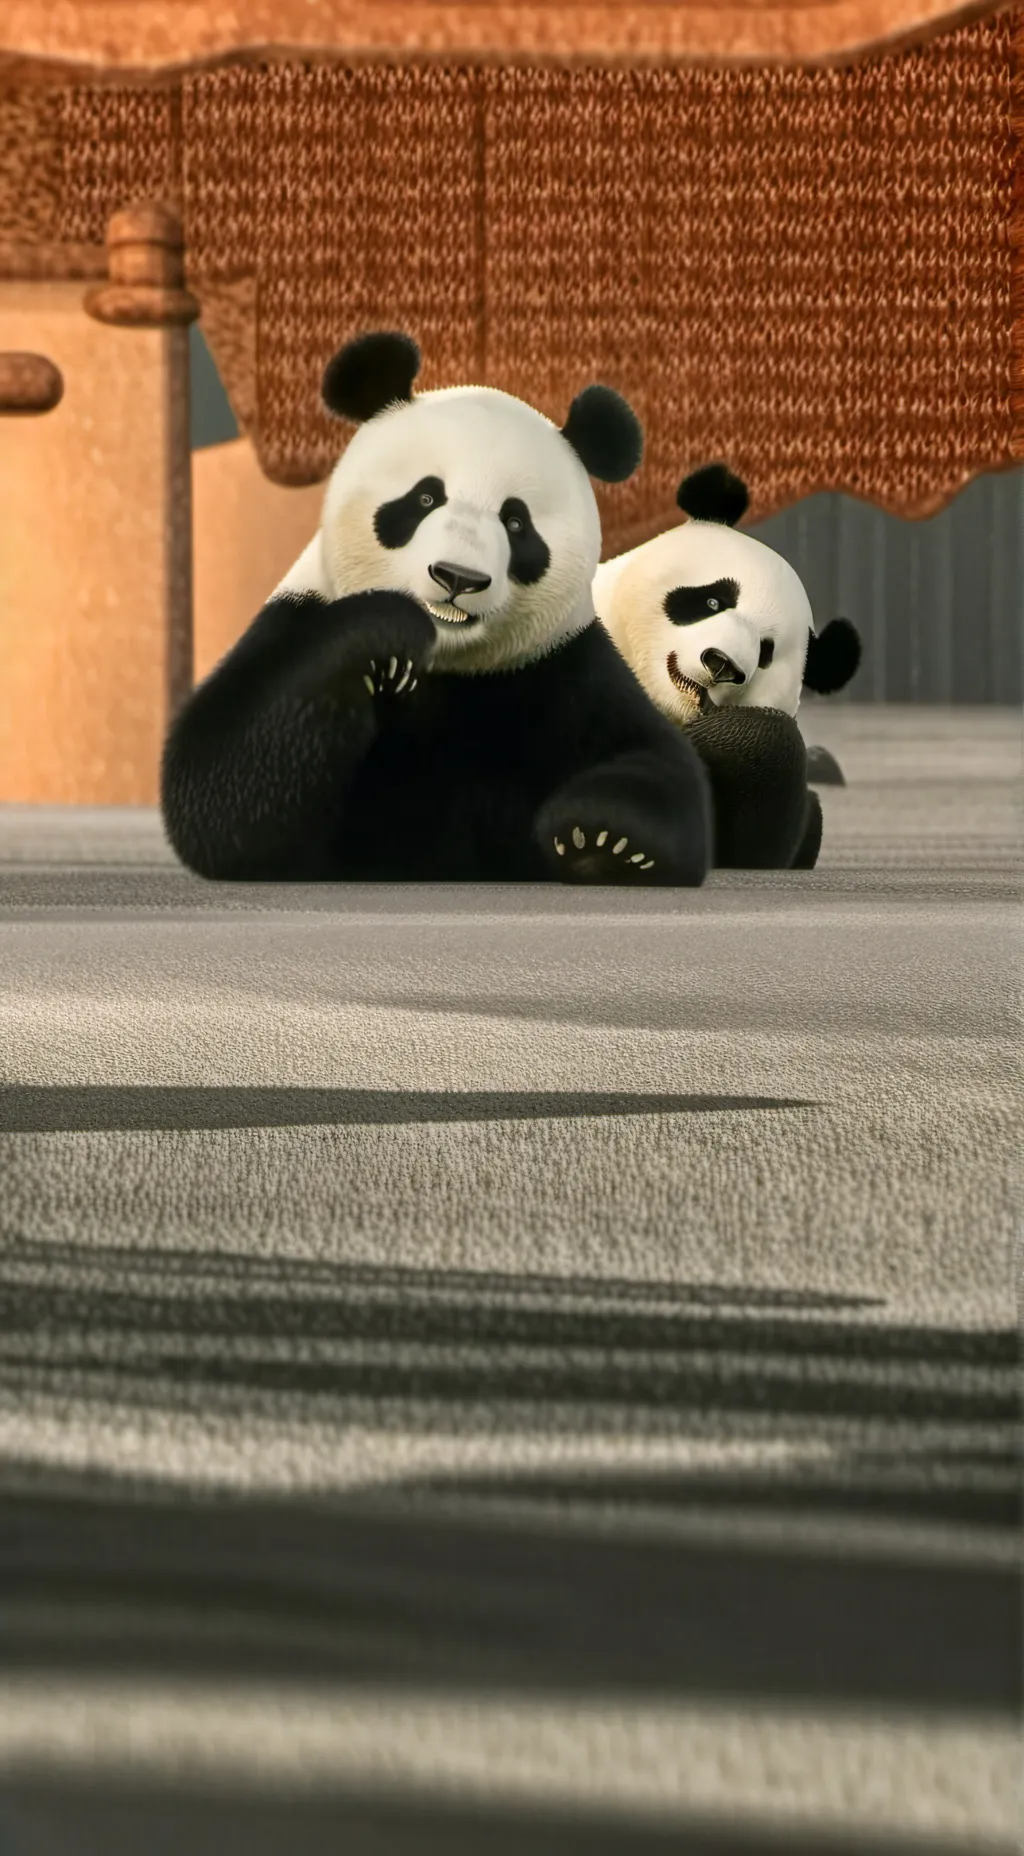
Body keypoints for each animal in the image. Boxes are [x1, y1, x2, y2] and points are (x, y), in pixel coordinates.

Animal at [161, 331, 712, 887]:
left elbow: (654, 760)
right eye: (425, 497)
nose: (458, 578)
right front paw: (384, 634)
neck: (448, 662)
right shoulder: (299, 617)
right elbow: (220, 783)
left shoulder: (561, 666)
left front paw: (602, 840)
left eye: (516, 523)